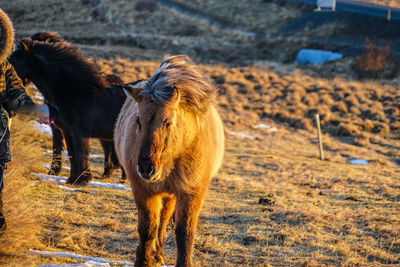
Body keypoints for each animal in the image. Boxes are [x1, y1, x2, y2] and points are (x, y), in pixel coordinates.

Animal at [115, 55, 225, 266]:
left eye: (167, 122)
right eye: (138, 120)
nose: (146, 168)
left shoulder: (191, 193)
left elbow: (184, 233)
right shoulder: (142, 189)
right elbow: (147, 228)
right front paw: (143, 260)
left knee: (165, 219)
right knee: (160, 221)